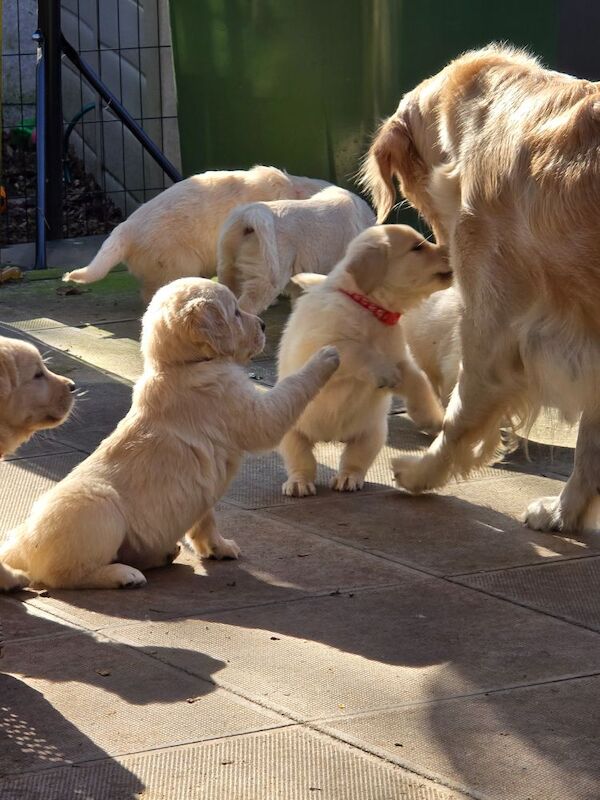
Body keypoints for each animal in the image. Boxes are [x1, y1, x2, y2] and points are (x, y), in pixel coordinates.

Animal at [0, 278, 338, 592]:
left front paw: (218, 547)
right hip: (99, 508)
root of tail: (18, 545)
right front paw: (326, 356)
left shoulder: (202, 492)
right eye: (235, 312)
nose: (265, 325)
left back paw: (159, 555)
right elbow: (288, 393)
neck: (178, 366)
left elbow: (206, 518)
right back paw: (123, 575)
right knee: (66, 574)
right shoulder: (244, 409)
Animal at [276, 225, 450, 496]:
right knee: (302, 460)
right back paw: (299, 483)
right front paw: (385, 373)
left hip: (372, 433)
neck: (370, 309)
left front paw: (430, 417)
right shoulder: (322, 346)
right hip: (292, 432)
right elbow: (357, 350)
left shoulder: (399, 357)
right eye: (417, 248)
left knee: (354, 460)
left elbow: (418, 380)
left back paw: (348, 478)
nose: (452, 251)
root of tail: (331, 436)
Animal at [360, 43, 600, 532]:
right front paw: (564, 512)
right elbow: (590, 442)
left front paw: (422, 472)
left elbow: (460, 412)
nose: (443, 256)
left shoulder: (492, 328)